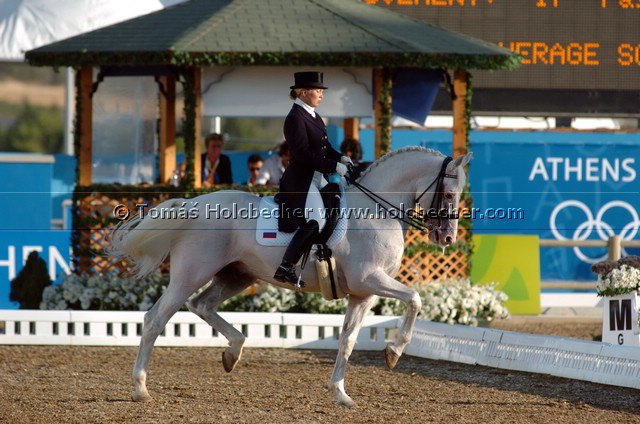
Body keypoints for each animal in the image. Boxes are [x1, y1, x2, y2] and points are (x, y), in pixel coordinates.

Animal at [109, 147, 470, 408]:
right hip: (192, 273)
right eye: (449, 195)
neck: (376, 211)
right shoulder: (371, 280)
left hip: (237, 275)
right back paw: (140, 389)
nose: (447, 239)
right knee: (156, 319)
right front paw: (394, 351)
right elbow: (415, 299)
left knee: (202, 305)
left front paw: (341, 394)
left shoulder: (362, 294)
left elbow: (348, 340)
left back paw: (233, 352)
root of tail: (194, 204)